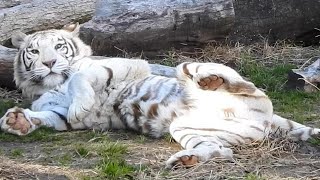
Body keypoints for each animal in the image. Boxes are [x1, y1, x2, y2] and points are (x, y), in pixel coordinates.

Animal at [0, 23, 320, 168]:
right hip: (188, 128)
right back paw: (186, 159)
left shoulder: (119, 65)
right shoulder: (57, 113)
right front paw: (16, 121)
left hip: (198, 70)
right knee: (221, 150)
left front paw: (79, 104)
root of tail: (269, 120)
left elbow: (79, 77)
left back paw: (209, 79)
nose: (49, 63)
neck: (49, 85)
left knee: (237, 83)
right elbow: (46, 116)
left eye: (59, 47)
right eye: (34, 51)